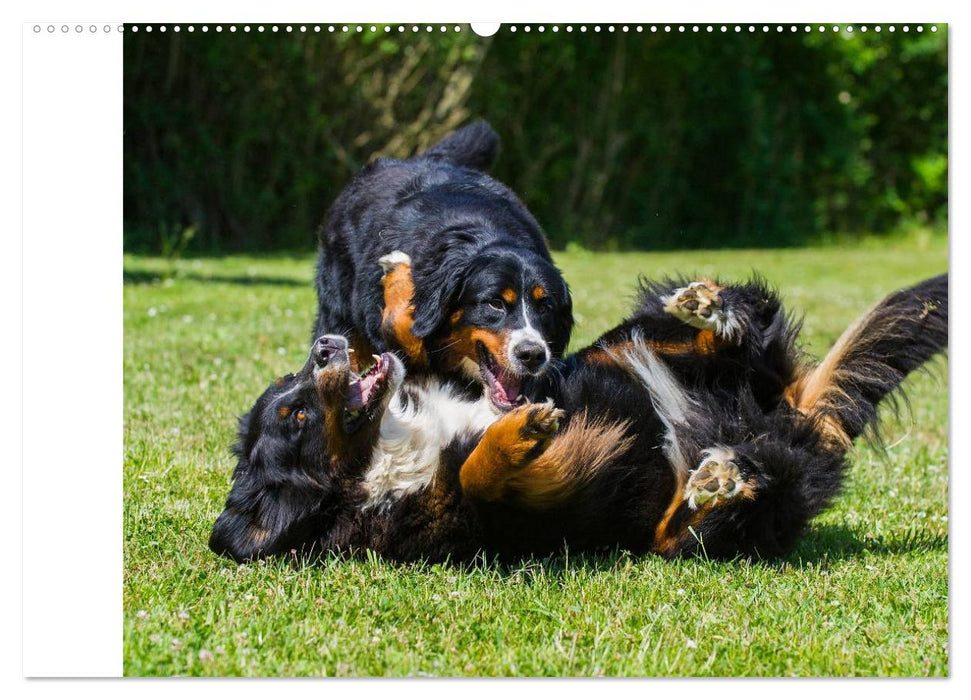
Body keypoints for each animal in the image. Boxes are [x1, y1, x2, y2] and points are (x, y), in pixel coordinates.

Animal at [209, 260, 944, 568]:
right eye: (296, 415)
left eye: (289, 389)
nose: (324, 346)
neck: (389, 452)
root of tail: (783, 418)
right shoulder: (481, 522)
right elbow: (474, 473)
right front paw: (521, 432)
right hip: (697, 530)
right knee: (702, 517)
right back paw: (720, 479)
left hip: (627, 348)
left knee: (736, 327)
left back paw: (708, 310)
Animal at [312, 120, 572, 410]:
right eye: (495, 304)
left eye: (546, 307)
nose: (532, 354)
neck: (484, 235)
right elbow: (405, 325)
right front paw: (397, 270)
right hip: (339, 317)